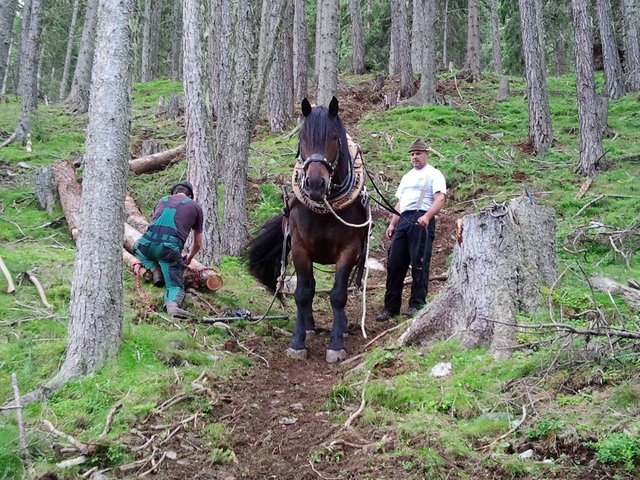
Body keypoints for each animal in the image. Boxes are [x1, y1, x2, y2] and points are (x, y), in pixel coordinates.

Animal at [247, 97, 370, 363]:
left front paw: (336, 343)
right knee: (310, 287)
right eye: (302, 138)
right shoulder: (300, 247)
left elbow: (338, 294)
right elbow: (303, 292)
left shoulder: (349, 249)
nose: (314, 184)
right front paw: (297, 342)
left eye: (333, 138)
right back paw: (310, 326)